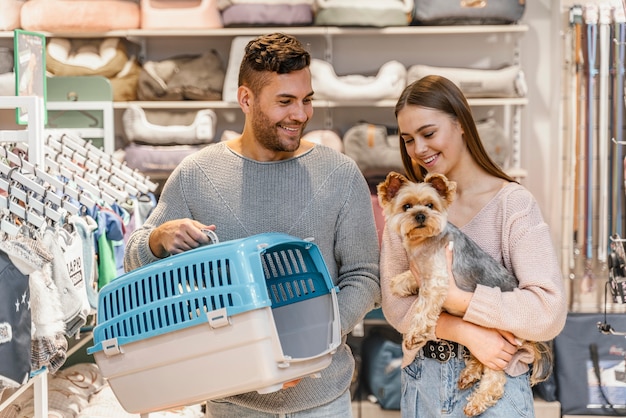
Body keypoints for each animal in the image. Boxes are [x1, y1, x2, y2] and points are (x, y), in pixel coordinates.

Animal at [376, 171, 544, 416]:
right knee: (479, 358)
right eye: (406, 206)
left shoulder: (437, 280)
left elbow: (423, 307)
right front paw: (399, 283)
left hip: (498, 335)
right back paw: (469, 374)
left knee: (495, 377)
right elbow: (406, 280)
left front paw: (415, 334)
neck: (423, 241)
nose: (420, 215)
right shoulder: (421, 271)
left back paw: (477, 400)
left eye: (430, 205)